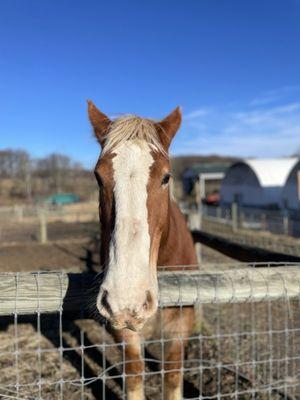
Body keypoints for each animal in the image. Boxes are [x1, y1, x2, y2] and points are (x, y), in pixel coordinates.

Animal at [88, 102, 198, 400]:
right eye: (98, 177)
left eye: (166, 177)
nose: (128, 300)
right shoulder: (122, 331)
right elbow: (135, 374)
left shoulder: (180, 323)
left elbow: (172, 376)